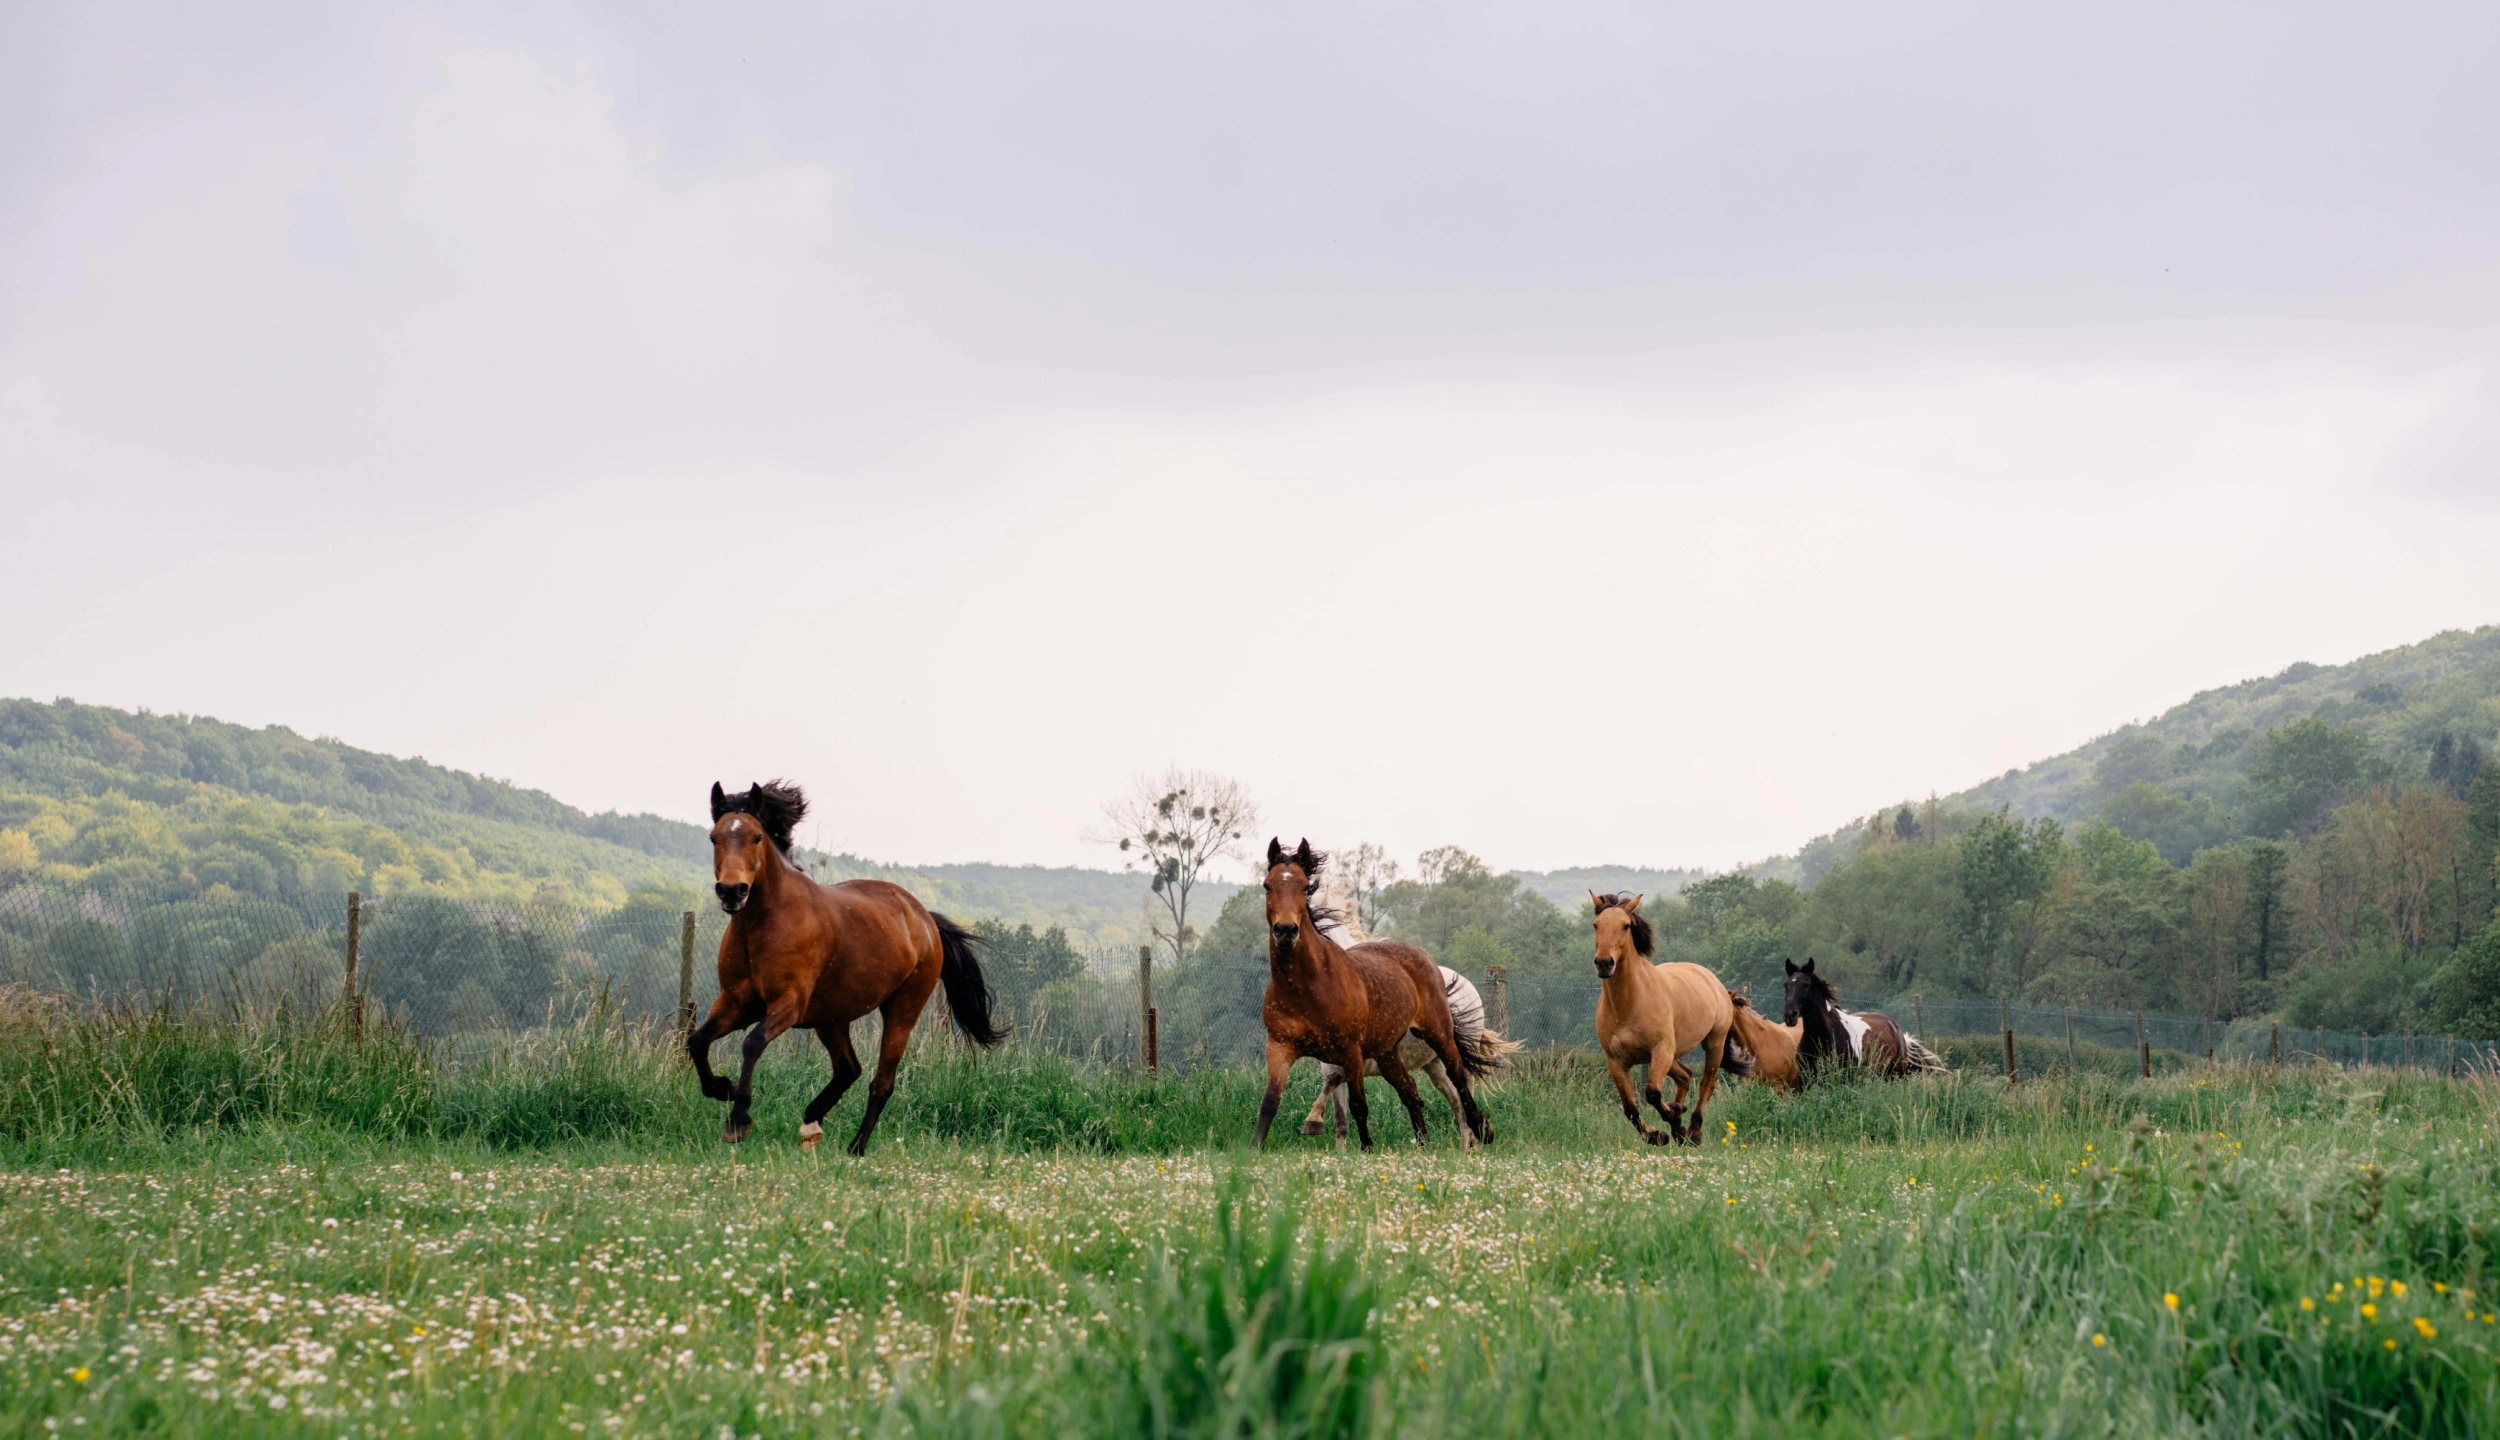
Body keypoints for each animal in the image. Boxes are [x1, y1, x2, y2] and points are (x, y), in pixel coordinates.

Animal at [688, 780, 1008, 1153]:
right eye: (714, 837)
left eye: (756, 837)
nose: (732, 891)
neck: (762, 923)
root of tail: (924, 919)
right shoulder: (737, 1003)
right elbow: (697, 1041)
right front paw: (722, 1088)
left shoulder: (788, 1004)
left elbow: (752, 1043)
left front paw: (738, 1120)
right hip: (830, 1018)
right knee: (848, 1069)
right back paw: (812, 1123)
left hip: (902, 1011)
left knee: (880, 1082)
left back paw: (856, 1147)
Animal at [1253, 838, 1495, 1151]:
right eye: (1267, 885)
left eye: (1305, 887)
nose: (1285, 931)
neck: (1308, 987)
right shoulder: (1286, 1048)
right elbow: (1298, 1108)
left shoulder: (1351, 1052)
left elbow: (1356, 1104)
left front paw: (1340, 1136)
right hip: (1404, 1058)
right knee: (1421, 1093)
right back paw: (1428, 1145)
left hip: (1440, 1039)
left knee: (1461, 1090)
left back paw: (1476, 1136)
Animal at [1590, 893, 1743, 1145]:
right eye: (1596, 925)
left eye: (1625, 925)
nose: (1604, 963)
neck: (1629, 1004)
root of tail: (1714, 981)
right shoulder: (1616, 1061)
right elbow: (1630, 1108)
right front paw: (1658, 1134)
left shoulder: (1660, 1050)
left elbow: (1652, 1093)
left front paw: (1672, 1120)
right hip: (1673, 1055)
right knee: (1685, 1076)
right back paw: (1679, 1123)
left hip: (1714, 1043)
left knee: (1706, 1083)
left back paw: (1693, 1131)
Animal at [1780, 958, 1944, 1077]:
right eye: (1786, 985)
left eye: (1806, 984)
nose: (1789, 1015)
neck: (1822, 1037)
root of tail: (1897, 1029)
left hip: (1896, 1074)